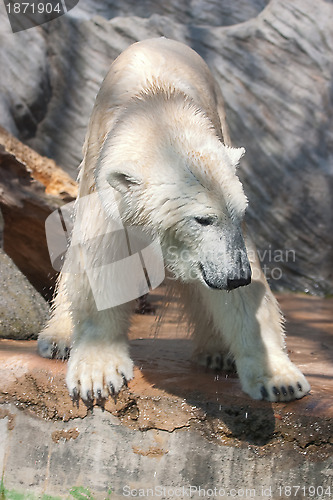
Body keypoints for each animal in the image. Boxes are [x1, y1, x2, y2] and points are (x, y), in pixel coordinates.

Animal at [37, 38, 310, 402]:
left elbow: (246, 295)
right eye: (202, 219)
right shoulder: (110, 198)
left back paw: (217, 352)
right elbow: (101, 264)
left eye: (237, 213)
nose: (236, 276)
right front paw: (98, 374)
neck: (157, 112)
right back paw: (57, 339)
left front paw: (280, 380)